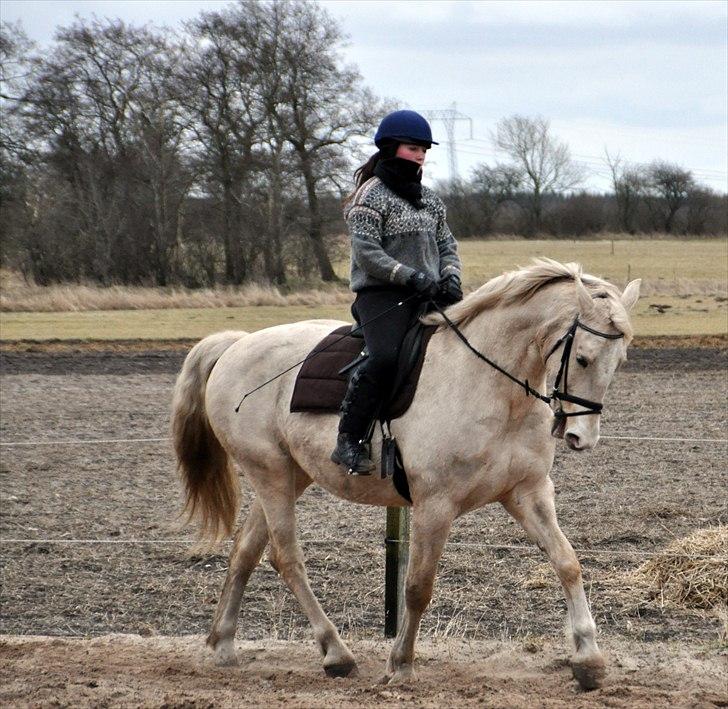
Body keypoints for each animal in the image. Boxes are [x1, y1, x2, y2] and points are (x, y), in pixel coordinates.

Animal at [171, 258, 636, 688]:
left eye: (620, 361)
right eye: (582, 358)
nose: (580, 436)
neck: (493, 387)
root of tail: (238, 345)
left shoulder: (529, 493)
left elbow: (567, 562)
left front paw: (589, 659)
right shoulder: (435, 505)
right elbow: (418, 586)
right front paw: (401, 664)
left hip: (289, 476)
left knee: (246, 552)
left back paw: (224, 644)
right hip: (271, 475)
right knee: (286, 557)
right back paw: (336, 653)